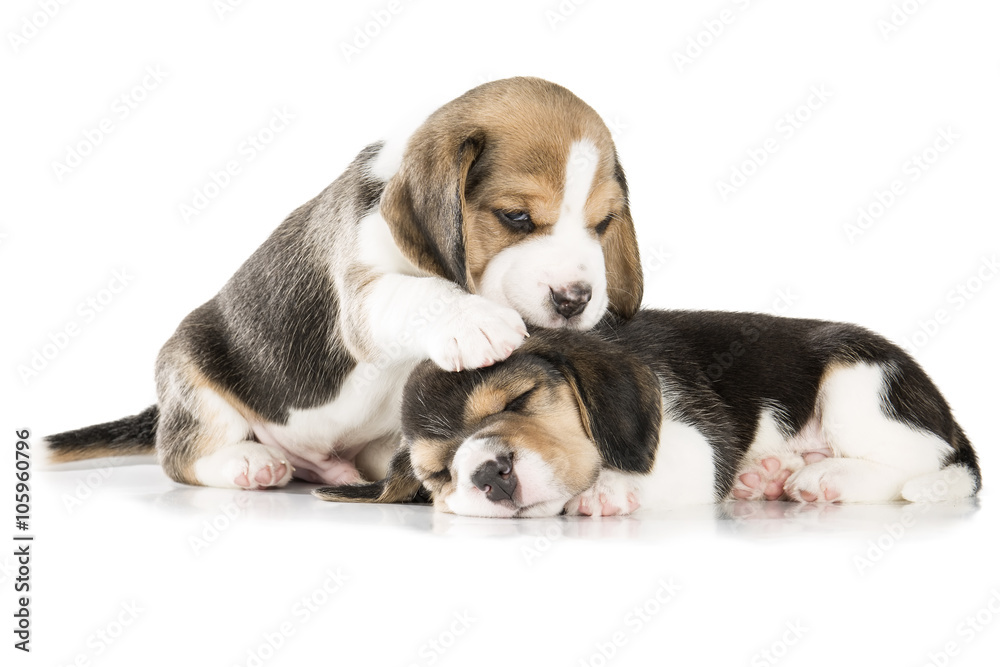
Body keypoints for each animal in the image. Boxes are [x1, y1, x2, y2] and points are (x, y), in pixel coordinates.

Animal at [41, 77, 640, 490]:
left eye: (602, 224)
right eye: (516, 217)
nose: (574, 300)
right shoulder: (364, 295)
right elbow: (418, 293)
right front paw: (476, 321)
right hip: (189, 370)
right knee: (182, 454)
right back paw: (249, 462)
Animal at [314, 310, 984, 520]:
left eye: (518, 401)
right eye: (438, 474)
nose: (488, 474)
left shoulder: (700, 437)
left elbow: (656, 466)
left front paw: (606, 490)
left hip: (858, 383)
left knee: (926, 463)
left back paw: (825, 477)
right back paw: (767, 476)